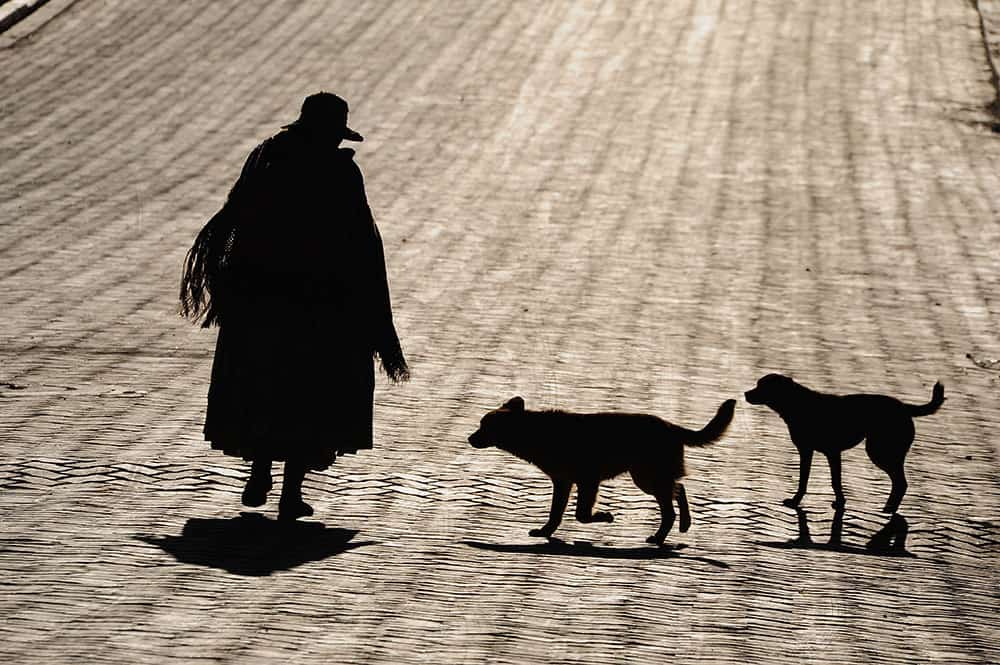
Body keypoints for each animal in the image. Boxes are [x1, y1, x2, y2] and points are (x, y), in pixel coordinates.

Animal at [744, 376, 944, 510]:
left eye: (761, 386)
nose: (746, 393)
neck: (796, 403)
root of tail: (904, 407)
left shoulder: (830, 452)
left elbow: (833, 480)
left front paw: (838, 502)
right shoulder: (809, 451)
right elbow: (807, 479)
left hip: (879, 452)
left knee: (901, 483)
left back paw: (889, 509)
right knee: (899, 482)